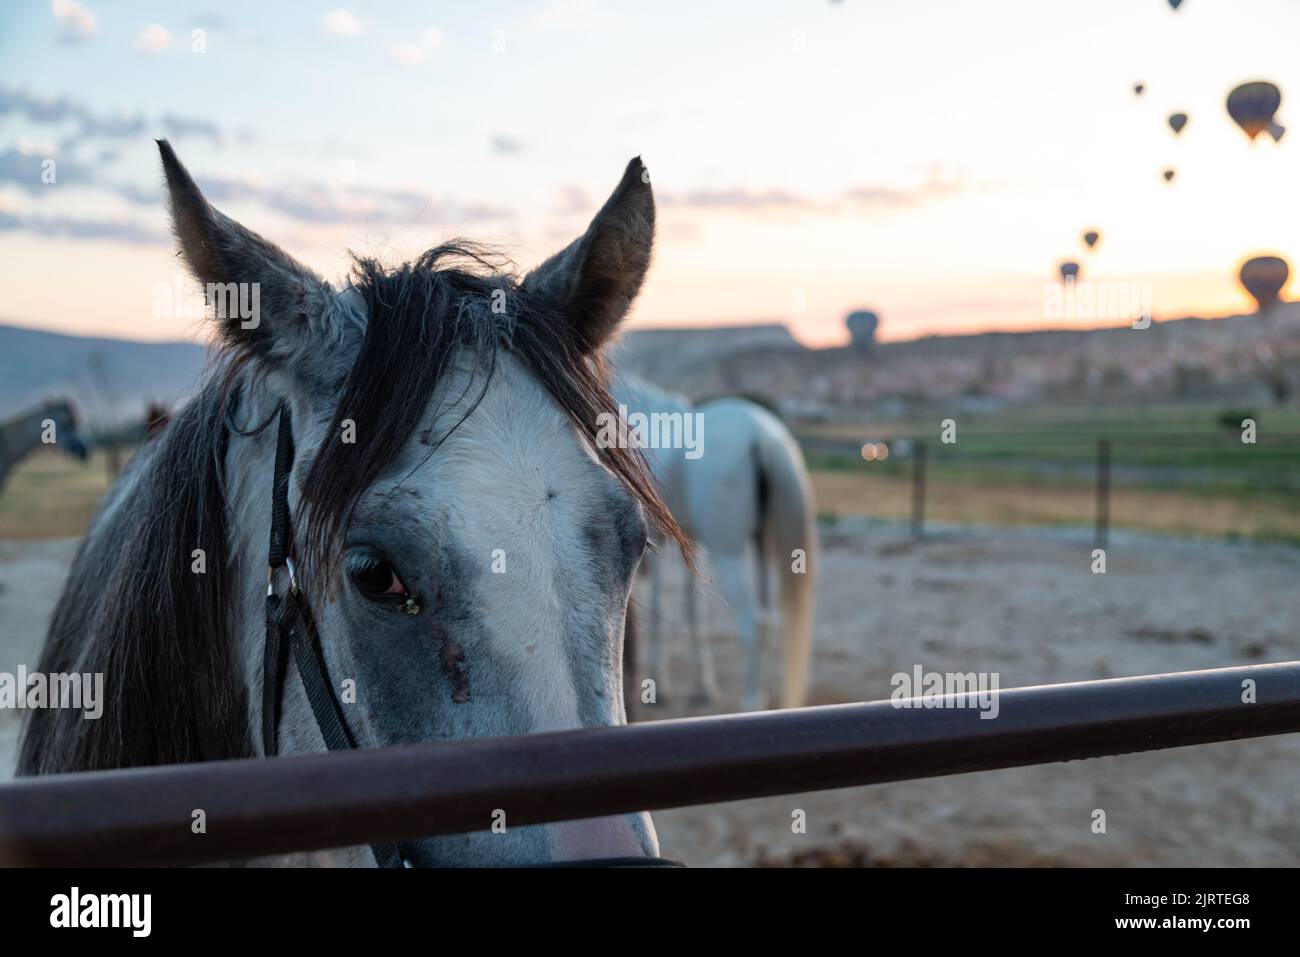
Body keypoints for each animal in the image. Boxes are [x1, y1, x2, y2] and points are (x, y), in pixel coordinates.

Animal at [612, 374, 816, 712]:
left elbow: (661, 605)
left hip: (728, 554)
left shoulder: (657, 546)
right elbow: (694, 611)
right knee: (768, 622)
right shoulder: (692, 547)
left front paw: (660, 685)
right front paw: (702, 686)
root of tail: (762, 437)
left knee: (753, 622)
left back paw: (750, 701)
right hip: (762, 550)